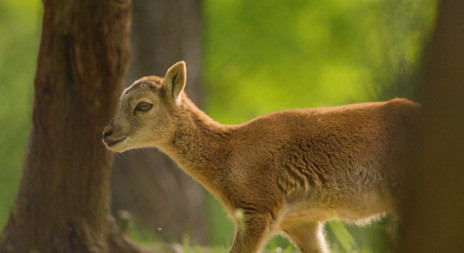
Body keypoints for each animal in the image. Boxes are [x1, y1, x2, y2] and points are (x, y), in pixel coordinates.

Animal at [103, 61, 418, 253]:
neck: (226, 154)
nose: (107, 134)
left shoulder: (256, 211)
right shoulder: (302, 223)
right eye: (119, 102)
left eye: (144, 105)